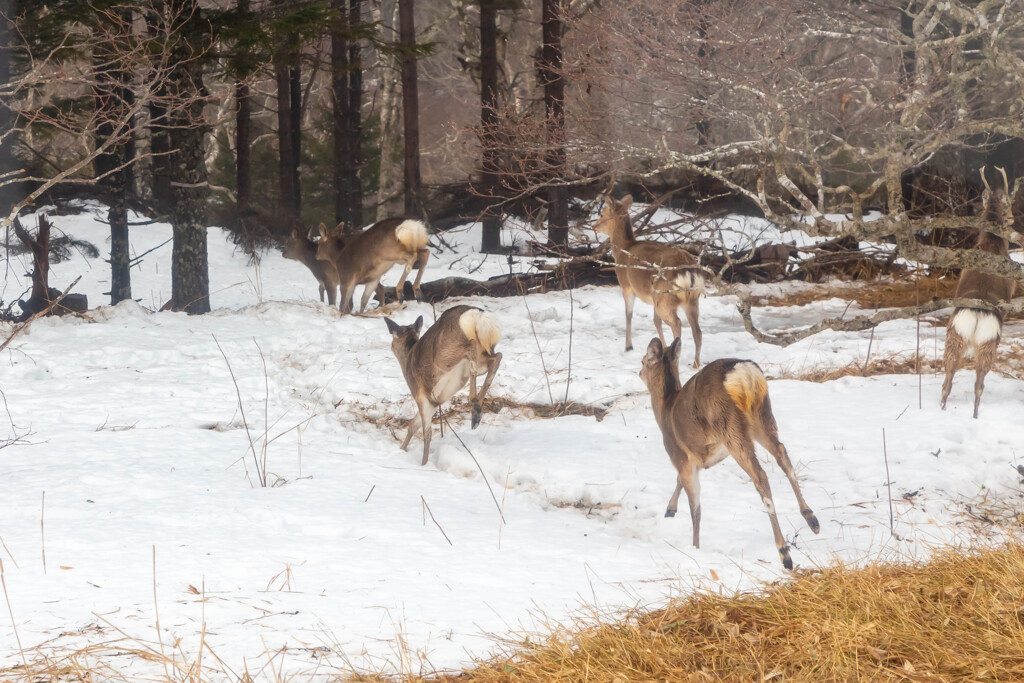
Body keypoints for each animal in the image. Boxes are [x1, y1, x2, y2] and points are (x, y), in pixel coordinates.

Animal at [382, 307, 501, 466]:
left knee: (472, 352)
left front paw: (423, 463)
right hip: (482, 352)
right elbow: (413, 426)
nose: (391, 347)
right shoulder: (433, 402)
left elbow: (426, 433)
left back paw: (474, 404)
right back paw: (477, 413)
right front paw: (402, 450)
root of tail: (474, 314)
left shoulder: (420, 396)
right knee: (496, 357)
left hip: (446, 356)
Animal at [593, 193, 712, 368]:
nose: (593, 226)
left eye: (602, 214)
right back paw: (696, 364)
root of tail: (687, 270)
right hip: (691, 299)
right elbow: (655, 321)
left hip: (665, 296)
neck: (623, 250)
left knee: (677, 324)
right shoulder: (652, 297)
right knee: (697, 330)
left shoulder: (626, 286)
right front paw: (661, 347)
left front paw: (628, 347)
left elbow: (628, 315)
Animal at [638, 337, 823, 573]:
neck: (664, 409)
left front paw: (695, 547)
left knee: (760, 476)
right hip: (762, 416)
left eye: (643, 361)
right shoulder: (696, 460)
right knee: (783, 454)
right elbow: (680, 483)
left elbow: (695, 507)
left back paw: (784, 553)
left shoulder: (679, 455)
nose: (638, 372)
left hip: (730, 426)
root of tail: (743, 373)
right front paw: (670, 511)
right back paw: (812, 519)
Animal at [937, 167, 1019, 419]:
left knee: (947, 381)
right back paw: (974, 415)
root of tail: (976, 315)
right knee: (978, 384)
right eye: (1008, 206)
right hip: (989, 341)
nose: (1013, 219)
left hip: (954, 335)